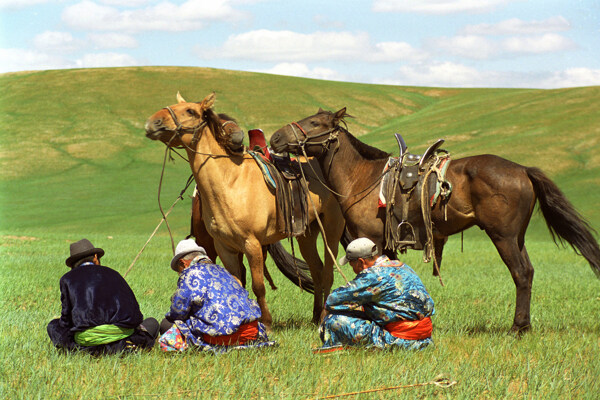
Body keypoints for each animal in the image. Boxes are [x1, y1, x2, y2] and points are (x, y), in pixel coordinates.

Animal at [143, 94, 344, 328]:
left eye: (190, 111)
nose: (153, 123)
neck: (230, 182)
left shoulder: (252, 244)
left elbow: (258, 285)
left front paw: (266, 322)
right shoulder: (225, 247)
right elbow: (237, 282)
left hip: (331, 231)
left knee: (328, 272)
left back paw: (323, 317)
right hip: (306, 234)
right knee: (317, 270)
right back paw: (314, 315)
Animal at [272, 108, 600, 332]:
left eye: (315, 123)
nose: (275, 137)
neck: (364, 178)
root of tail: (522, 170)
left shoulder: (371, 239)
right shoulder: (386, 242)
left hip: (503, 237)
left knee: (520, 273)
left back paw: (517, 328)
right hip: (517, 238)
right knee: (529, 272)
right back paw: (525, 325)